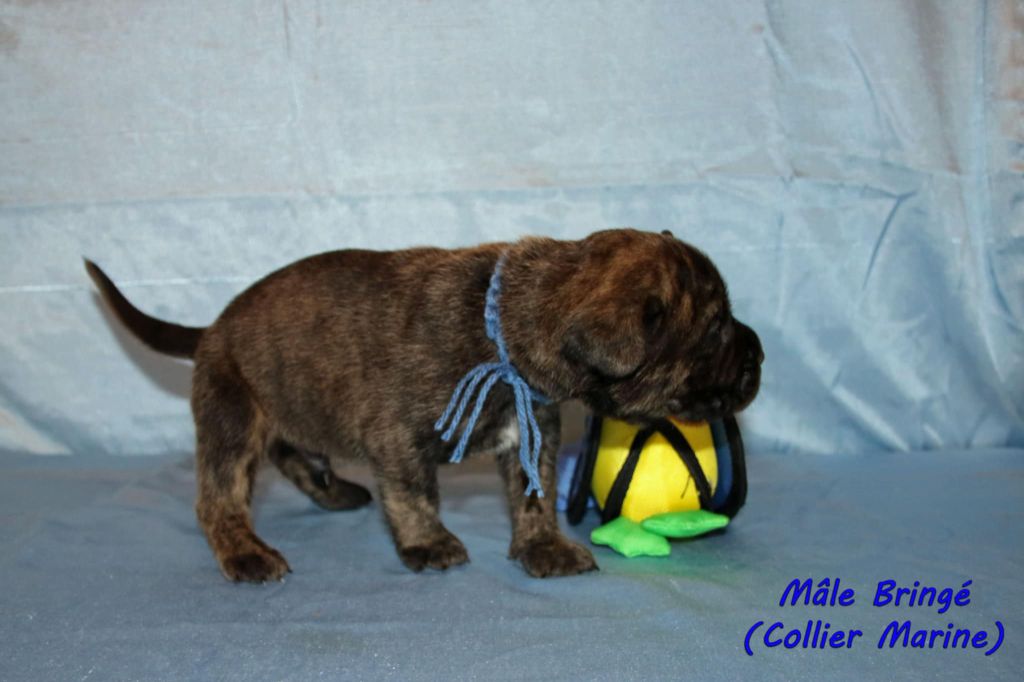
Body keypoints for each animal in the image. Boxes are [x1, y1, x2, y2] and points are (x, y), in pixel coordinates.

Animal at [86, 228, 763, 582]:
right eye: (715, 330)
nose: (759, 355)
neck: (506, 326)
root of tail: (211, 330)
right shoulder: (398, 439)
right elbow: (415, 496)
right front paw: (429, 544)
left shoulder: (532, 433)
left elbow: (536, 496)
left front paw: (543, 547)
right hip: (231, 414)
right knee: (219, 497)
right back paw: (246, 553)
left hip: (288, 406)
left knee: (291, 452)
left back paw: (335, 491)